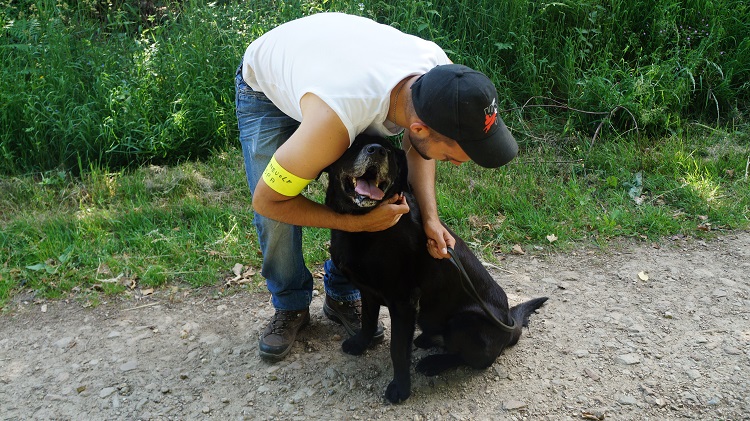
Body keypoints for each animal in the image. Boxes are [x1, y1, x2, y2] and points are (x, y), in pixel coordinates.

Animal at [326, 135, 548, 404]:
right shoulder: (368, 291)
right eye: (355, 144)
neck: (365, 228)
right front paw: (360, 344)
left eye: (388, 150)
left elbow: (398, 349)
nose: (377, 151)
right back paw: (426, 340)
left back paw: (434, 363)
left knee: (471, 359)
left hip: (464, 321)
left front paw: (400, 388)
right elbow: (367, 322)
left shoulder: (403, 301)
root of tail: (510, 326)